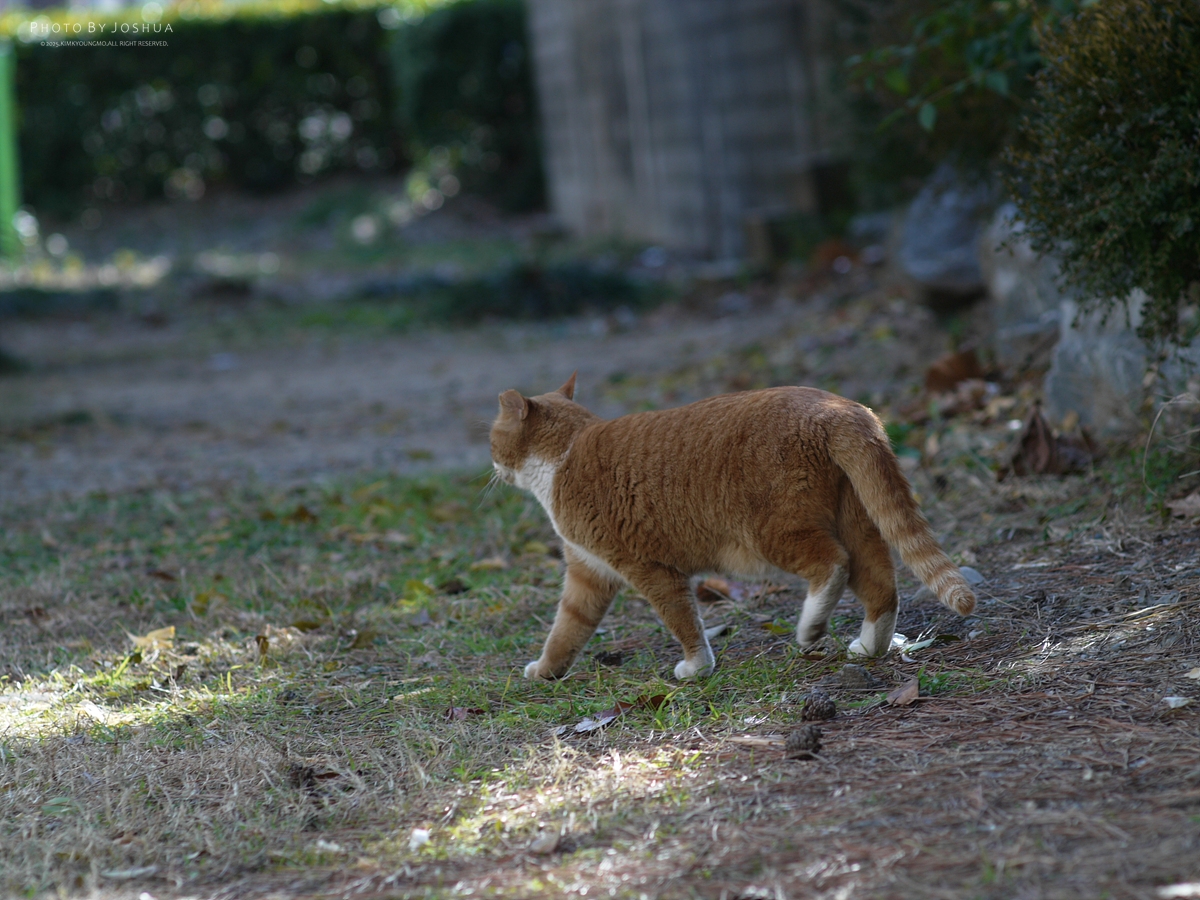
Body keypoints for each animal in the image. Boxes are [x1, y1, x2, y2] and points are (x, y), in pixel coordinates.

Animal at [490, 374, 976, 680]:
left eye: (492, 437)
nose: (492, 466)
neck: (565, 454)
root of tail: (840, 407)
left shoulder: (648, 568)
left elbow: (682, 620)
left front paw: (696, 668)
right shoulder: (588, 574)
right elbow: (566, 630)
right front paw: (546, 671)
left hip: (772, 533)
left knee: (833, 564)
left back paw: (810, 628)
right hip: (854, 516)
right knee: (880, 582)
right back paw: (869, 646)